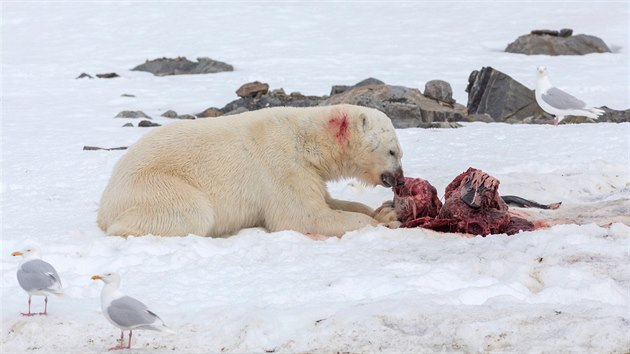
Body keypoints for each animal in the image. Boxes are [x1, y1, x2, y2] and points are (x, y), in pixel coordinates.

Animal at [97, 104, 408, 238]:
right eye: (392, 151)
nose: (400, 178)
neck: (306, 139)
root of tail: (105, 204)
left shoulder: (309, 172)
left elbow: (328, 201)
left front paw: (383, 211)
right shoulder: (282, 167)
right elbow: (304, 216)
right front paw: (388, 221)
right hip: (154, 185)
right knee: (191, 211)